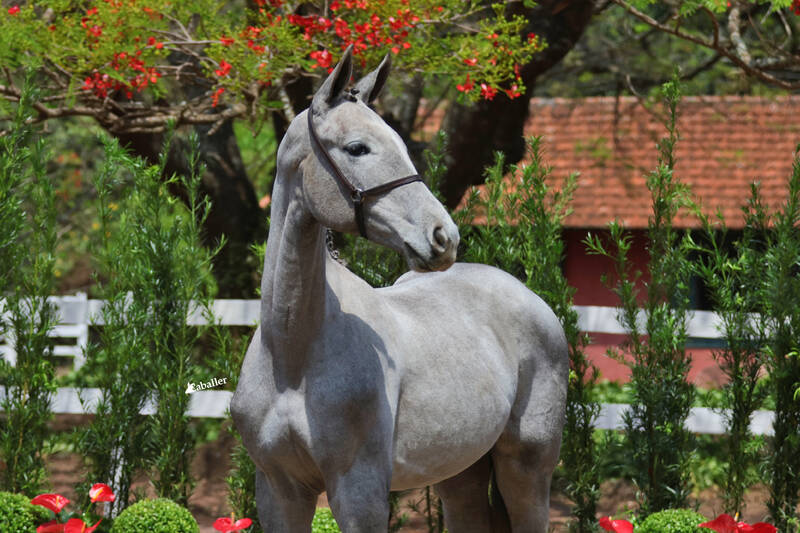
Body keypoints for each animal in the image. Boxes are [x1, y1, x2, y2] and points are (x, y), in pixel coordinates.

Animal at [231, 47, 568, 528]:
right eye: (357, 148)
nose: (443, 236)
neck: (293, 355)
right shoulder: (279, 491)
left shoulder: (360, 491)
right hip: (459, 472)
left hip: (527, 467)